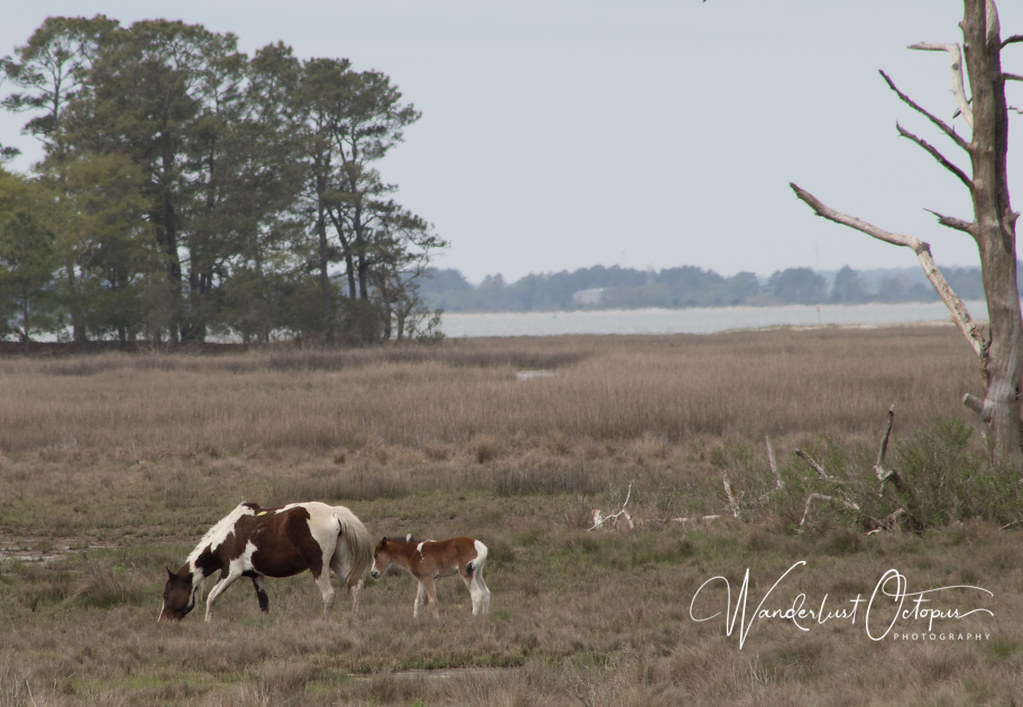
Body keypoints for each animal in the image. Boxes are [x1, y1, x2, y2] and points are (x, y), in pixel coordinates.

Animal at [160, 501, 372, 622]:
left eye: (166, 594)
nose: (163, 620)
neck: (227, 536)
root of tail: (334, 512)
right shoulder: (256, 575)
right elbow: (264, 605)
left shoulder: (231, 572)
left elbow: (212, 597)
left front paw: (208, 623)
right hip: (338, 562)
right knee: (356, 585)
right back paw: (355, 617)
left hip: (318, 565)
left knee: (329, 594)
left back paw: (325, 621)